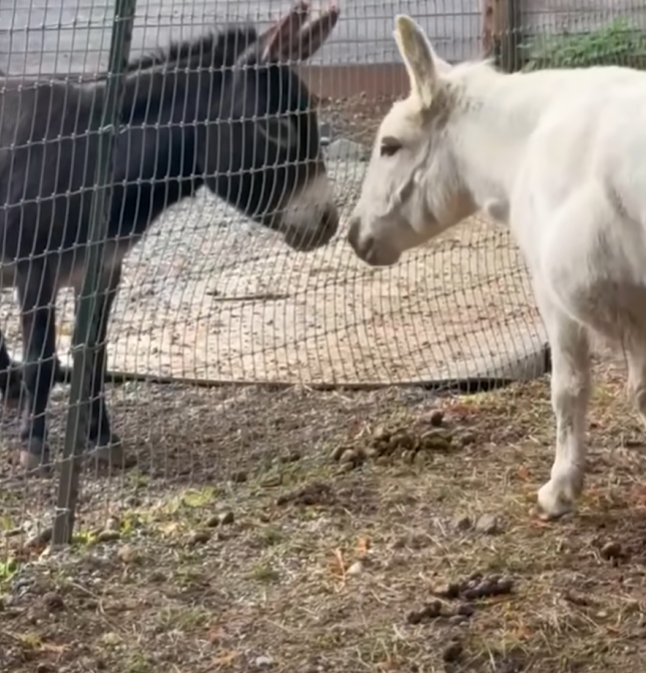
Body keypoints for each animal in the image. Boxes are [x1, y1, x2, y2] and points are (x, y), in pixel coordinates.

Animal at [0, 1, 340, 473]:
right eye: (276, 128)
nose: (330, 221)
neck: (92, 158)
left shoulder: (104, 269)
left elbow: (93, 353)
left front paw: (103, 440)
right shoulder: (35, 269)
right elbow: (42, 359)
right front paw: (34, 448)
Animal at [347, 14, 646, 520]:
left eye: (390, 145)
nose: (355, 235)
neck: (527, 144)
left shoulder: (560, 296)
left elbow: (570, 388)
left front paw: (560, 490)